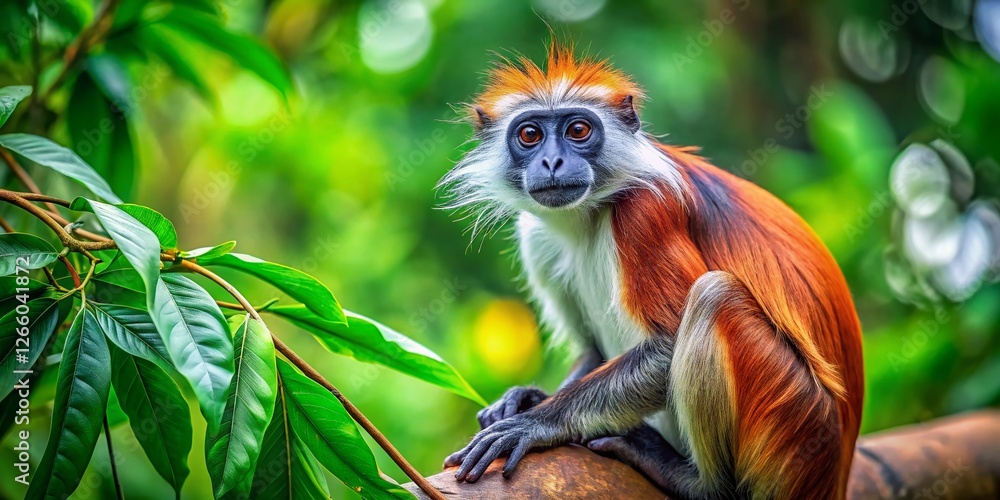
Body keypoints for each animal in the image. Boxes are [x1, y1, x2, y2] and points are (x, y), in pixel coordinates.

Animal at [439, 43, 864, 500]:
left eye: (578, 131)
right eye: (530, 135)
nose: (552, 161)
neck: (590, 212)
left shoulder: (646, 210)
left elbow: (664, 347)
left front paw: (533, 421)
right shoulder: (535, 232)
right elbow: (591, 347)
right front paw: (523, 399)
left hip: (794, 426)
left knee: (715, 296)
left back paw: (701, 483)